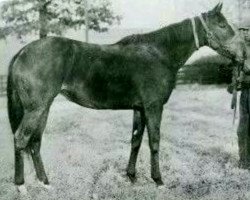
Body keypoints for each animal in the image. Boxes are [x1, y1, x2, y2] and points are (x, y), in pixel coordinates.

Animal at [7, 1, 246, 192]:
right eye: (223, 26)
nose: (243, 55)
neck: (159, 53)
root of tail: (23, 52)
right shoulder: (153, 106)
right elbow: (154, 141)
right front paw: (158, 181)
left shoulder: (139, 108)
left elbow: (135, 141)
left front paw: (131, 176)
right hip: (36, 108)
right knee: (21, 139)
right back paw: (21, 187)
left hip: (43, 108)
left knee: (34, 142)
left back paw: (45, 183)